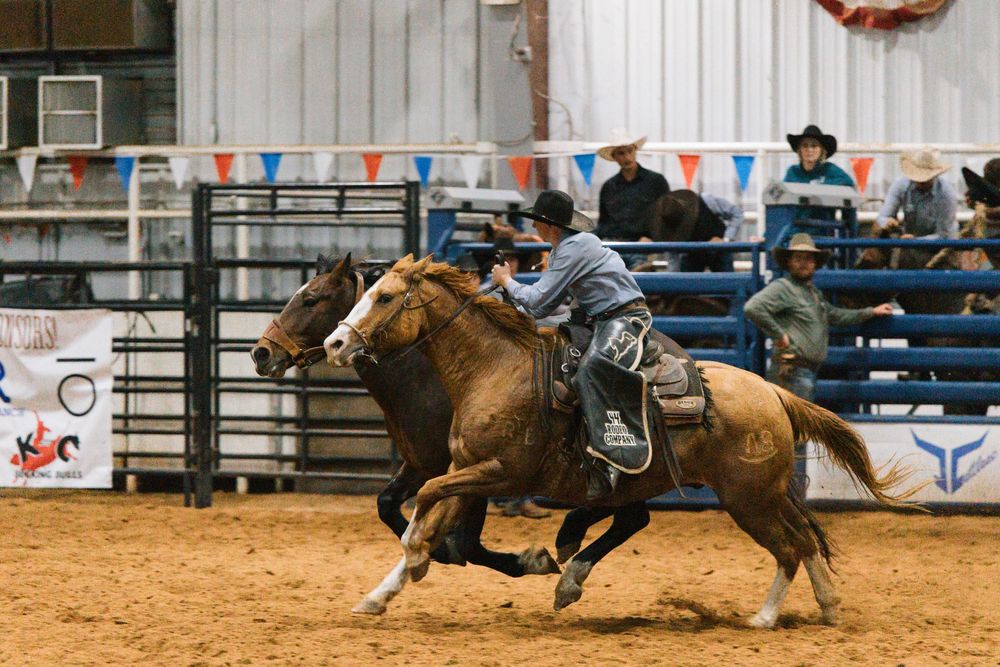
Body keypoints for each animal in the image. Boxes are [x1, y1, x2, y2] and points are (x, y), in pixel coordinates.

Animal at [250, 254, 693, 613]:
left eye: (312, 299)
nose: (262, 352)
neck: (428, 373)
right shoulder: (423, 463)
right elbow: (388, 506)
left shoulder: (476, 470)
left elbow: (465, 543)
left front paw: (521, 560)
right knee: (629, 514)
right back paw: (572, 534)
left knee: (629, 512)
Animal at [324, 254, 921, 627]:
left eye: (386, 297)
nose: (334, 343)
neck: (495, 367)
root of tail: (774, 392)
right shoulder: (467, 470)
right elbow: (433, 518)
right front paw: (381, 594)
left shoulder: (498, 471)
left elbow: (425, 507)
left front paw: (419, 560)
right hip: (757, 493)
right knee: (802, 539)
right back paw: (828, 605)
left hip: (748, 497)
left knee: (791, 547)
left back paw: (766, 616)